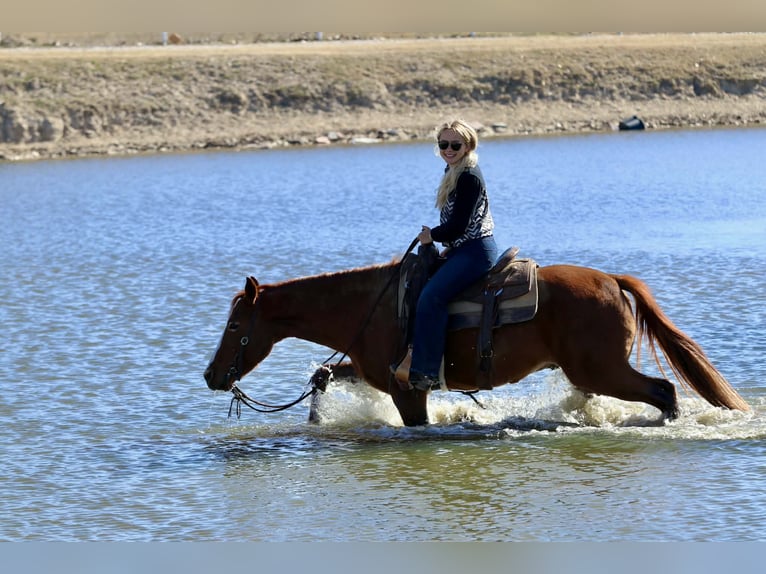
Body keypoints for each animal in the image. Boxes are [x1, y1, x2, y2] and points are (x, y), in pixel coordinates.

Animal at [203, 257, 749, 427]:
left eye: (233, 327)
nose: (210, 375)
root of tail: (612, 281)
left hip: (604, 369)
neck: (371, 306)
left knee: (665, 390)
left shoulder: (408, 389)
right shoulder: (375, 371)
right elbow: (324, 374)